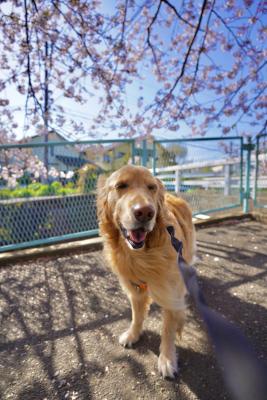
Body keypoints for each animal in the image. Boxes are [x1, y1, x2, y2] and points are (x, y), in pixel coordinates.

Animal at [97, 165, 197, 378]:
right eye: (121, 186)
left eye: (151, 187)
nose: (145, 212)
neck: (142, 256)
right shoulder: (134, 290)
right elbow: (136, 316)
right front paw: (133, 334)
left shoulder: (170, 293)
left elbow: (168, 329)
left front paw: (167, 359)